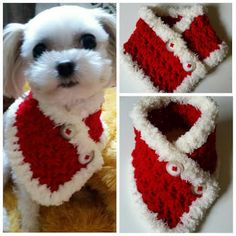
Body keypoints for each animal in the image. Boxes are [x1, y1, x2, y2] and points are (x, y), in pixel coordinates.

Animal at [2, 5, 115, 232]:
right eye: (38, 50)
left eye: (89, 40)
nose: (64, 65)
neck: (68, 109)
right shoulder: (25, 175)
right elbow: (28, 207)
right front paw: (30, 228)